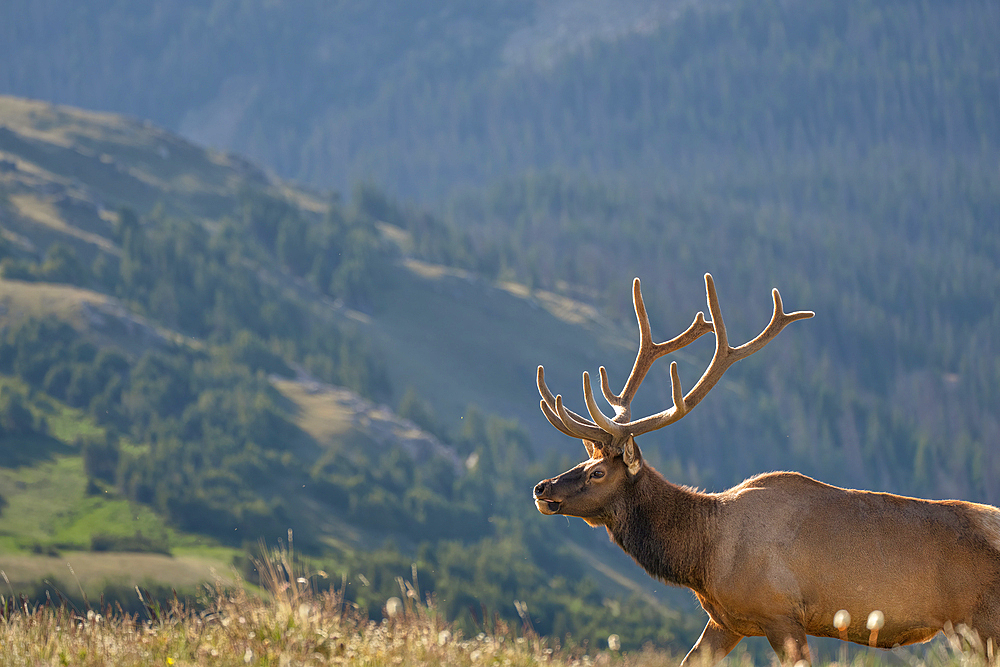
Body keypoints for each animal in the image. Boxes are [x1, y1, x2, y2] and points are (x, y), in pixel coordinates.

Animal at [536, 274, 1000, 664]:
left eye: (598, 473)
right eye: (585, 460)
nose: (542, 489)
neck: (702, 555)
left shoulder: (781, 613)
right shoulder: (725, 621)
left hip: (983, 620)